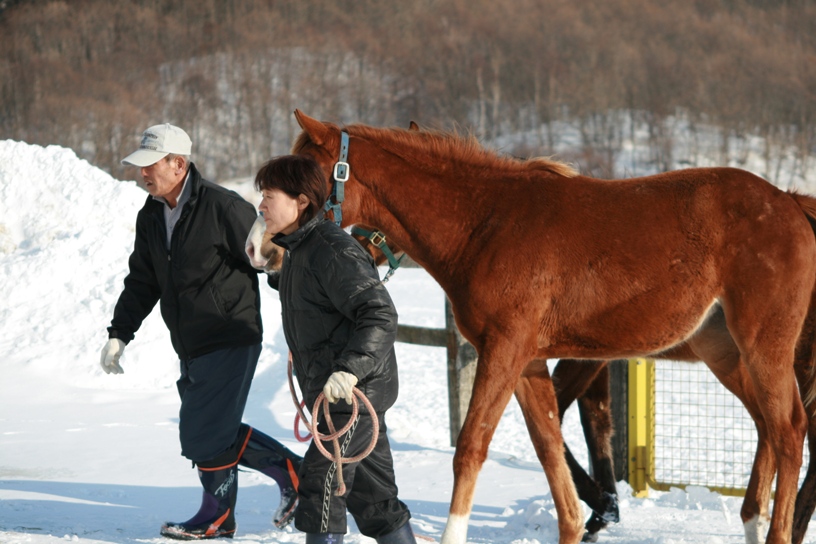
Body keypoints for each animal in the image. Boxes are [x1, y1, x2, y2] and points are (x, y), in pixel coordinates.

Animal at [282, 110, 816, 544]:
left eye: (306, 174)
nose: (273, 248)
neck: (488, 224)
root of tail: (790, 203)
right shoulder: (529, 361)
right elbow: (549, 448)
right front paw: (584, 519)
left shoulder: (506, 351)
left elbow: (472, 446)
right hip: (723, 351)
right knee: (768, 427)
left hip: (765, 348)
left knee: (790, 431)